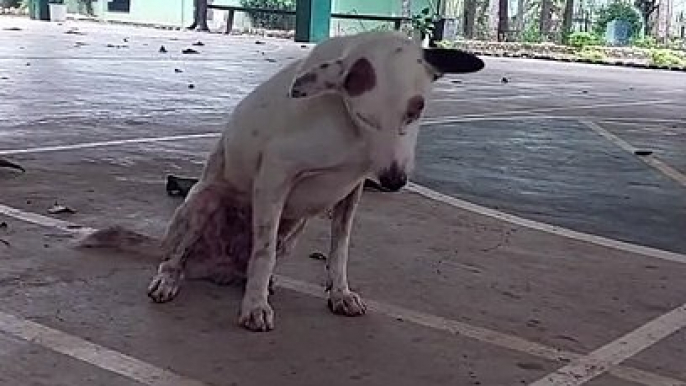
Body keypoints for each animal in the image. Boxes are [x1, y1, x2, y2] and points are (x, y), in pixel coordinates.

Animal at [78, 30, 486, 332]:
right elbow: (263, 253)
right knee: (173, 258)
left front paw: (339, 294)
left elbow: (339, 251)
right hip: (204, 198)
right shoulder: (275, 175)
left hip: (294, 227)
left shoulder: (351, 191)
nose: (393, 181)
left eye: (416, 111)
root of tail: (214, 267)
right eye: (365, 117)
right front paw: (255, 307)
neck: (348, 133)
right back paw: (171, 280)